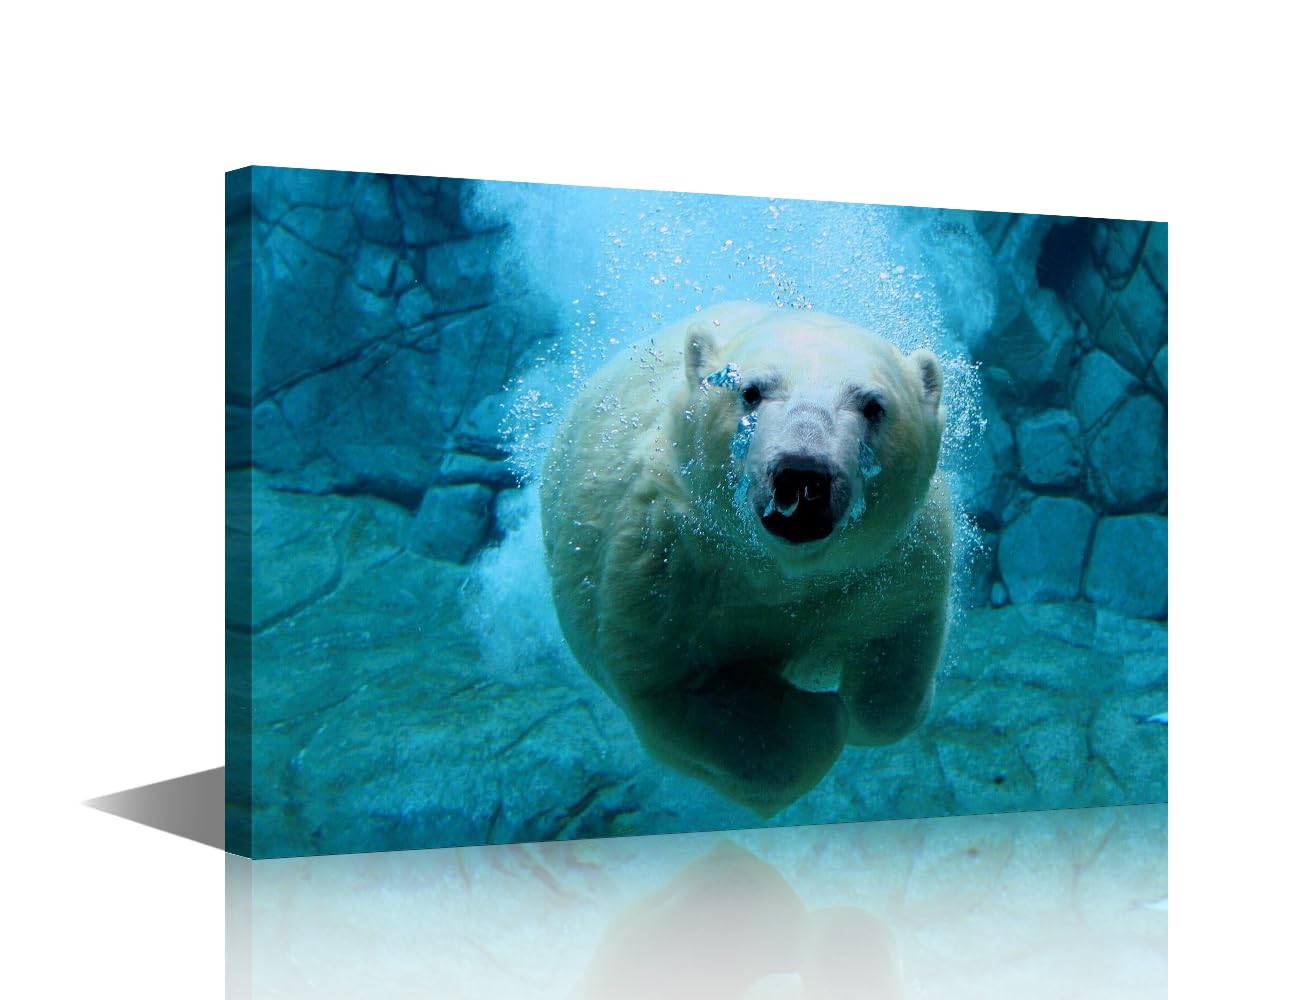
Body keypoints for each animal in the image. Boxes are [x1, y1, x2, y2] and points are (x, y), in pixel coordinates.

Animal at [540, 302, 953, 816]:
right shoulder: (661, 567)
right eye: (750, 391)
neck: (778, 571)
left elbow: (897, 644)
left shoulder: (892, 560)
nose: (803, 475)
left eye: (873, 405)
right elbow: (676, 689)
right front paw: (817, 713)